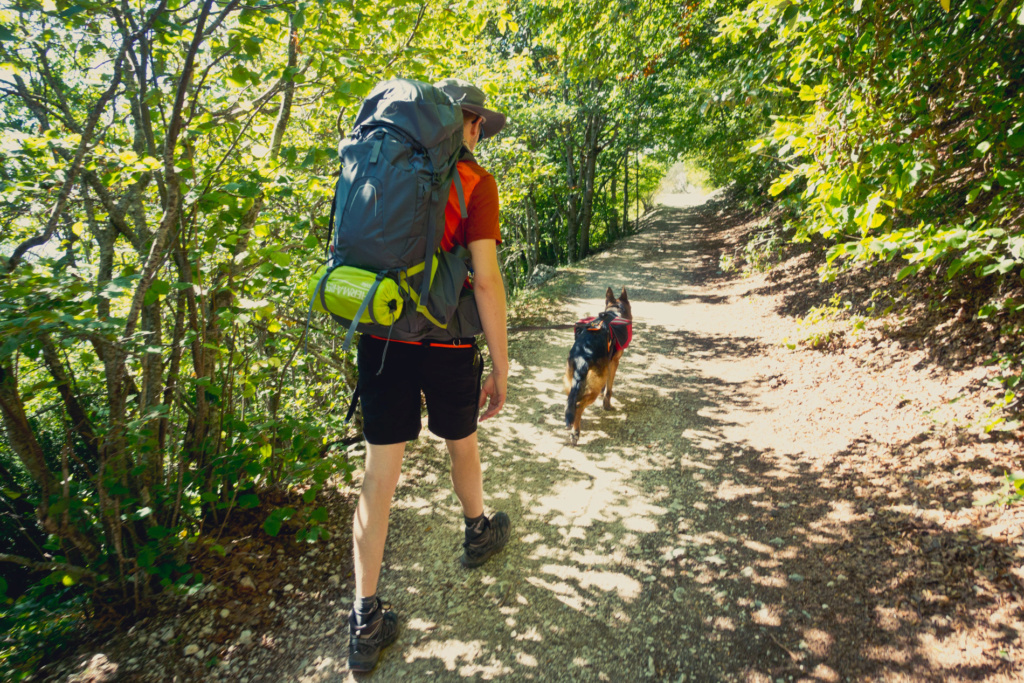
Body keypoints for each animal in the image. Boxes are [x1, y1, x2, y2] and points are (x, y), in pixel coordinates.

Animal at [561, 286, 630, 446]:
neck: (614, 311)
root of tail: (582, 357)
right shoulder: (614, 362)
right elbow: (609, 390)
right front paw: (607, 405)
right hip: (593, 389)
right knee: (579, 405)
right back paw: (575, 433)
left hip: (570, 382)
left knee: (571, 403)